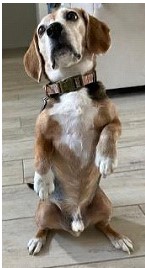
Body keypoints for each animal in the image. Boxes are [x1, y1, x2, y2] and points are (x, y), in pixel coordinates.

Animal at [23, 5, 133, 253]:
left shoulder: (115, 121)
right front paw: (42, 181)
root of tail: (76, 221)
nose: (54, 29)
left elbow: (108, 132)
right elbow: (40, 154)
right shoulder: (40, 131)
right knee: (44, 228)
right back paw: (37, 239)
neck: (71, 84)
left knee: (104, 225)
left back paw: (119, 238)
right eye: (41, 30)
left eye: (71, 15)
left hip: (104, 203)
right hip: (43, 210)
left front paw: (106, 159)